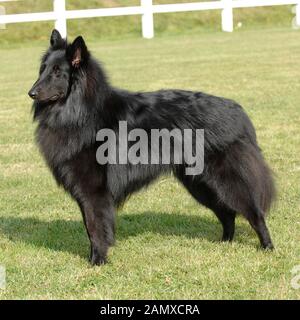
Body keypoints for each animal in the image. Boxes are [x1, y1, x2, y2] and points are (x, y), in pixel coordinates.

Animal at [29, 30, 276, 264]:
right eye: (42, 70)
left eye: (57, 72)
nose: (31, 93)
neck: (81, 112)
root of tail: (238, 111)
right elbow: (90, 229)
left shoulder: (94, 192)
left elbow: (95, 228)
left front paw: (97, 261)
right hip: (199, 183)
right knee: (226, 213)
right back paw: (224, 243)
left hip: (224, 179)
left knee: (253, 213)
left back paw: (268, 247)